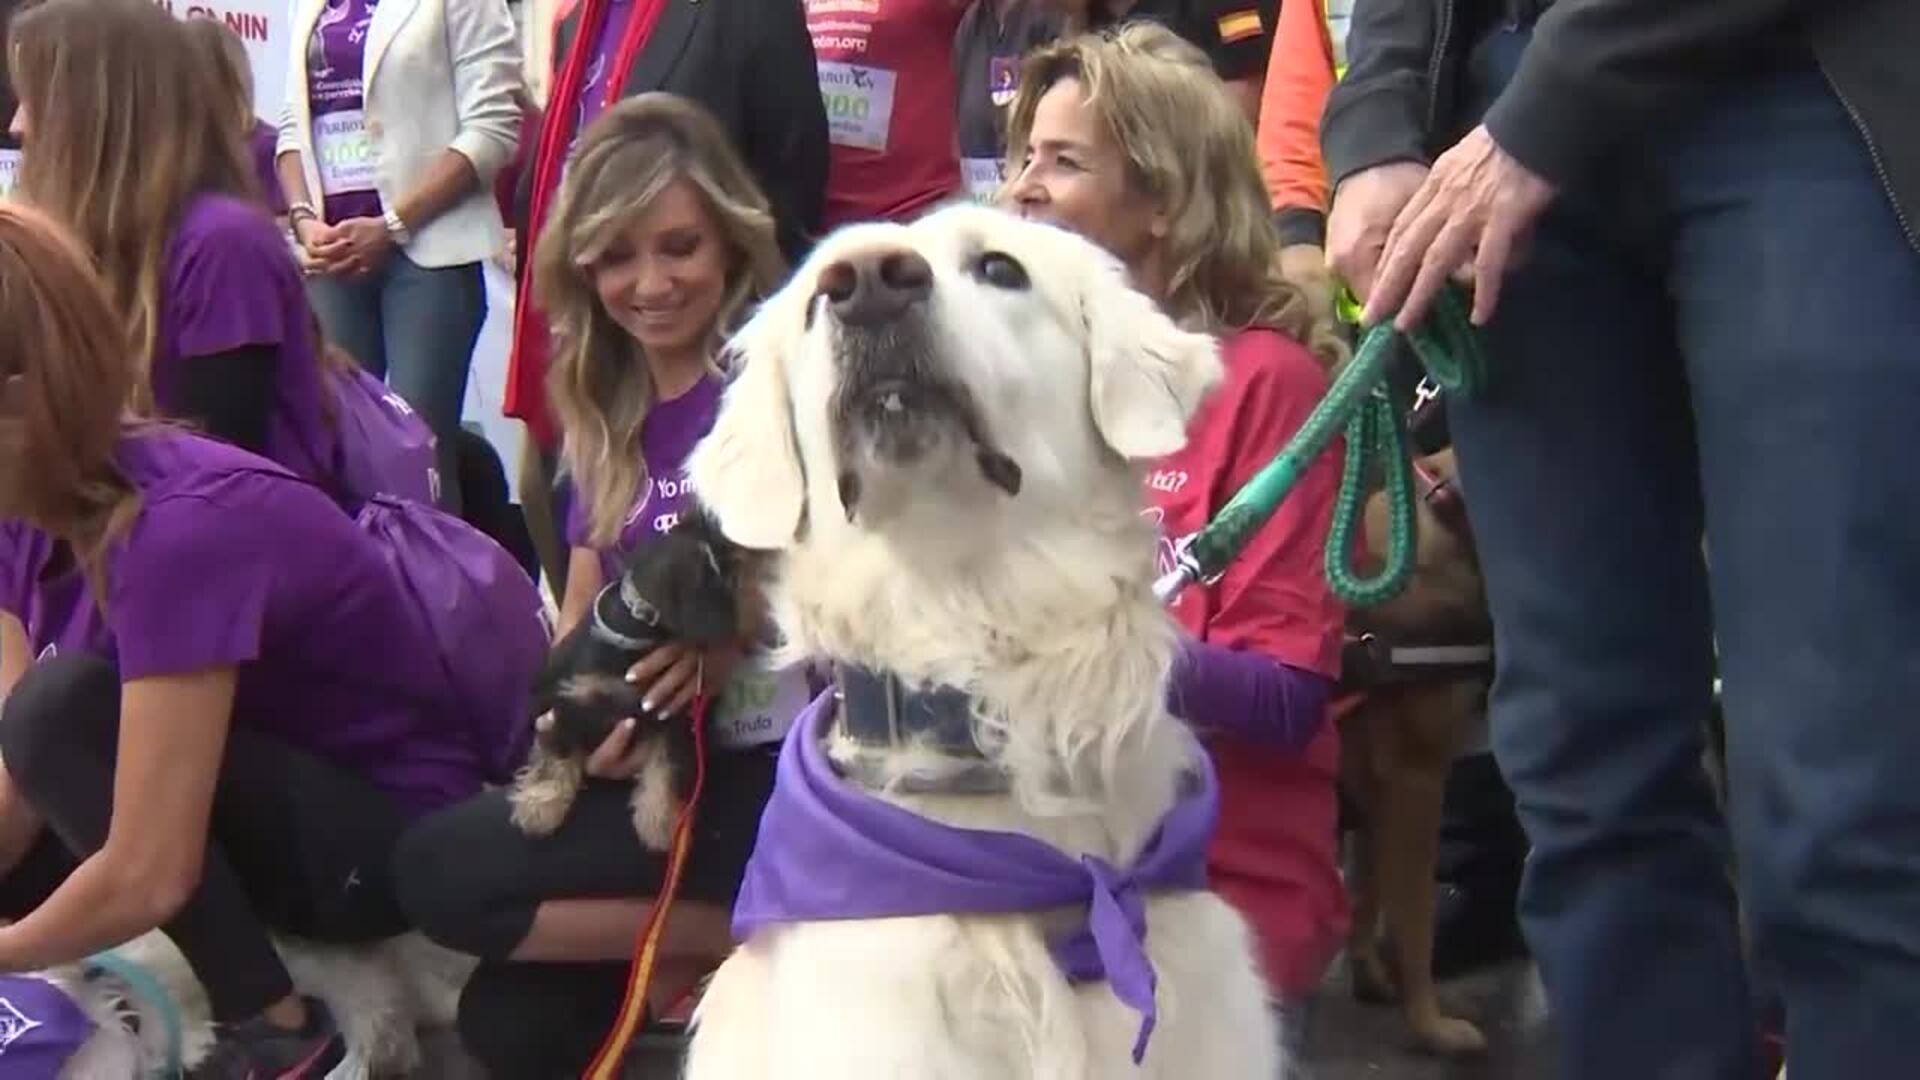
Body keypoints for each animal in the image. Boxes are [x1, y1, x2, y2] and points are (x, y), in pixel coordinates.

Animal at [506, 507, 744, 845]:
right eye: (715, 582)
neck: (636, 636)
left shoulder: (672, 716)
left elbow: (667, 767)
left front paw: (659, 822)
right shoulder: (568, 702)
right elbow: (556, 754)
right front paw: (540, 807)